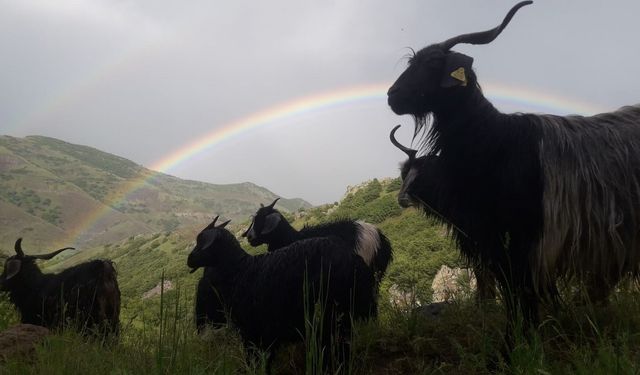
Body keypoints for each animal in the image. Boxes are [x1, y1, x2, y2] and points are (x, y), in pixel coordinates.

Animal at [186, 216, 376, 372]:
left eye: (200, 241)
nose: (189, 259)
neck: (240, 270)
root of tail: (354, 259)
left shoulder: (253, 331)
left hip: (334, 312)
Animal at [384, 0, 640, 328]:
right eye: (404, 173)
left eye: (432, 63)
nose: (392, 96)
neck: (498, 140)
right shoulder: (491, 237)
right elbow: (509, 289)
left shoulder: (527, 236)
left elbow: (522, 290)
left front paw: (525, 336)